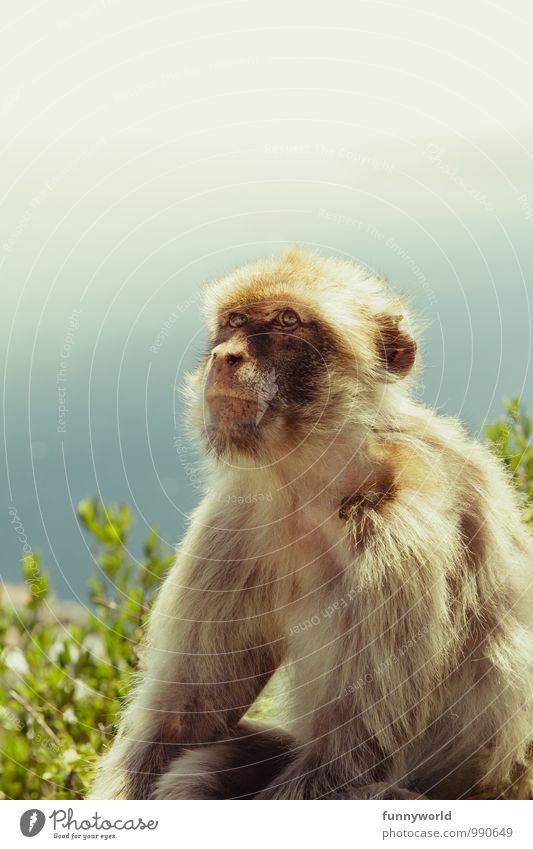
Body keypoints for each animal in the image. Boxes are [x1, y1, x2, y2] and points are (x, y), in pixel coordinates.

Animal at [89, 247, 528, 800]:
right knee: (201, 765)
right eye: (234, 321)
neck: (325, 484)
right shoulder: (234, 520)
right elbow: (183, 720)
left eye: (286, 321)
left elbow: (348, 760)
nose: (225, 356)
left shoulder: (404, 539)